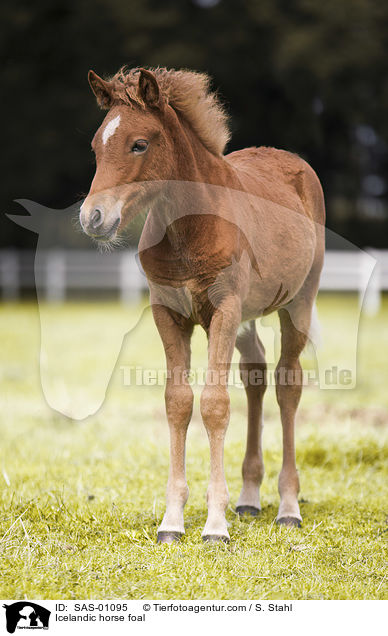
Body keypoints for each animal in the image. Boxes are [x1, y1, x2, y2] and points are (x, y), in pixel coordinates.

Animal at [79, 66, 324, 540]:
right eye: (97, 146)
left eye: (139, 144)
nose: (92, 218)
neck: (190, 226)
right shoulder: (170, 314)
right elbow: (178, 403)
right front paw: (172, 520)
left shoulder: (223, 310)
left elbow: (214, 404)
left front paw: (215, 524)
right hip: (247, 318)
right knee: (255, 374)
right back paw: (249, 498)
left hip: (297, 303)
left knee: (287, 383)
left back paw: (287, 506)